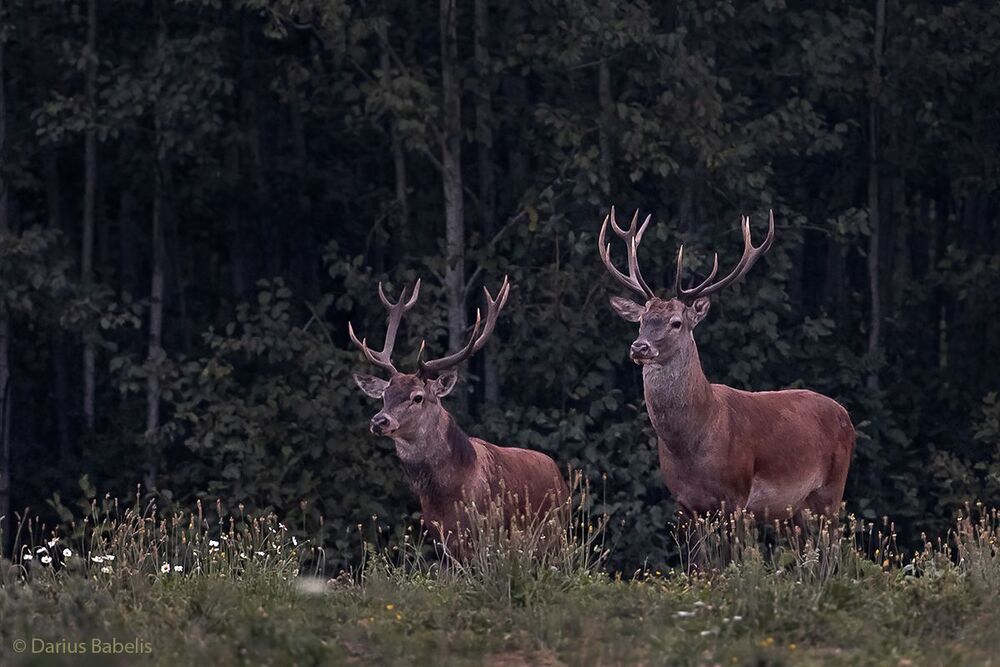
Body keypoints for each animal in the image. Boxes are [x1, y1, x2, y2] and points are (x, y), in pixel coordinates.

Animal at [350, 276, 570, 559]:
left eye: (418, 397)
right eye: (385, 395)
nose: (379, 421)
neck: (448, 493)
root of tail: (560, 477)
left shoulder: (483, 534)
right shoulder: (441, 541)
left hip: (556, 535)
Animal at [598, 207, 855, 530]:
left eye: (676, 323)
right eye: (642, 320)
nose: (639, 347)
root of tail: (846, 415)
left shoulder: (736, 495)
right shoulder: (684, 503)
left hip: (831, 490)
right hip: (795, 512)